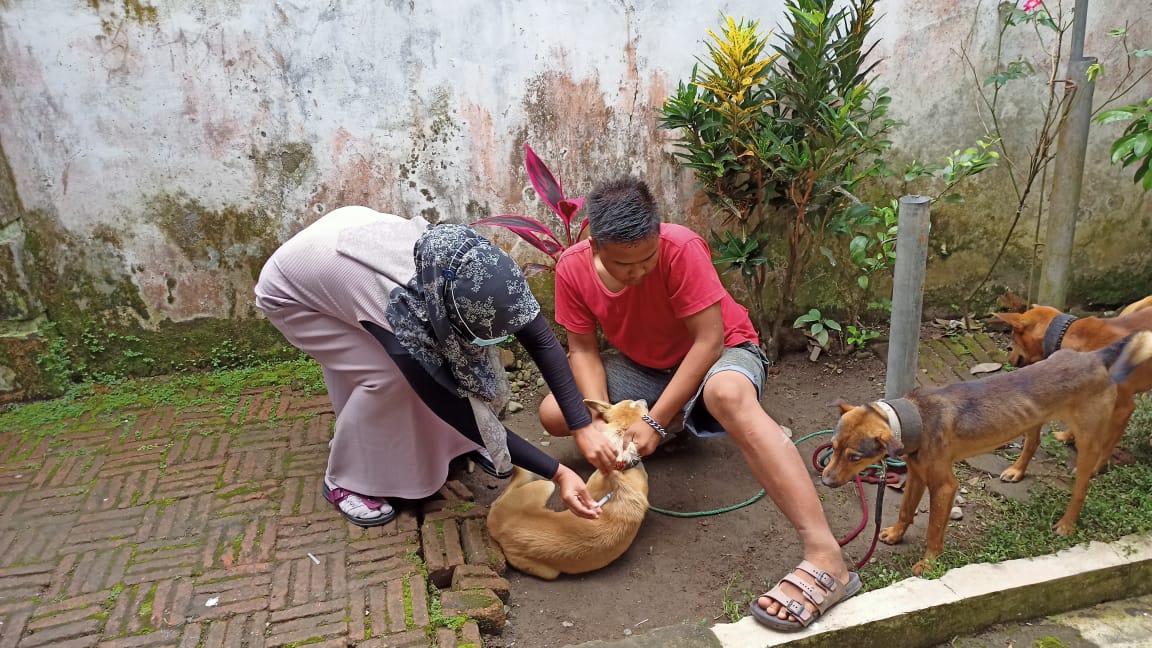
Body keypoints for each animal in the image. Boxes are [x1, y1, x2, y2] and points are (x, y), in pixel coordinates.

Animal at [820, 329, 1152, 571]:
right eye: (833, 448)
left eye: (854, 457)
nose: (824, 480)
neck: (917, 418)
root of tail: (1095, 357)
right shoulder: (916, 475)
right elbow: (905, 509)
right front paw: (895, 534)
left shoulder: (944, 486)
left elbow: (934, 529)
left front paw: (928, 564)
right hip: (1033, 419)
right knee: (1033, 442)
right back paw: (1017, 471)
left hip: (1086, 442)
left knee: (1082, 486)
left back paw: (1067, 523)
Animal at [995, 295, 1152, 465]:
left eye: (1013, 336)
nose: (1009, 358)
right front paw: (1067, 436)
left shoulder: (1123, 409)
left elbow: (1104, 449)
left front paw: (1095, 468)